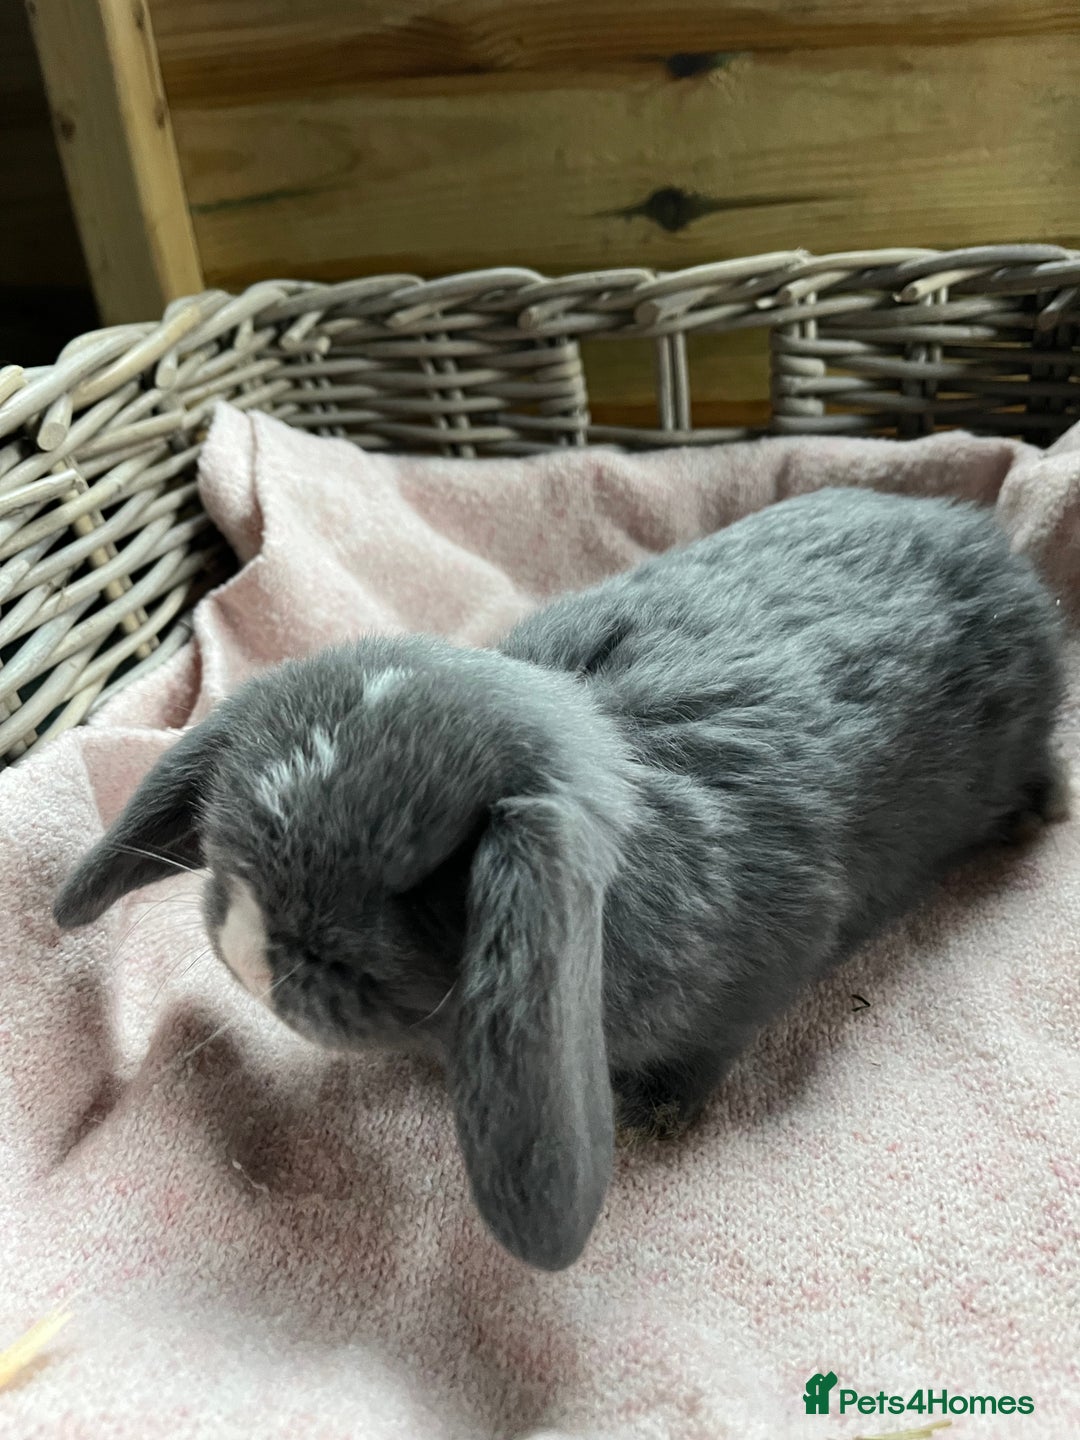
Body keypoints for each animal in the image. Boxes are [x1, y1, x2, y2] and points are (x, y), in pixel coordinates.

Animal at [53, 486, 1067, 1272]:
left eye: (426, 880)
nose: (250, 956)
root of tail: (1000, 550)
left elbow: (710, 1052)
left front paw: (655, 1118)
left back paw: (1040, 813)